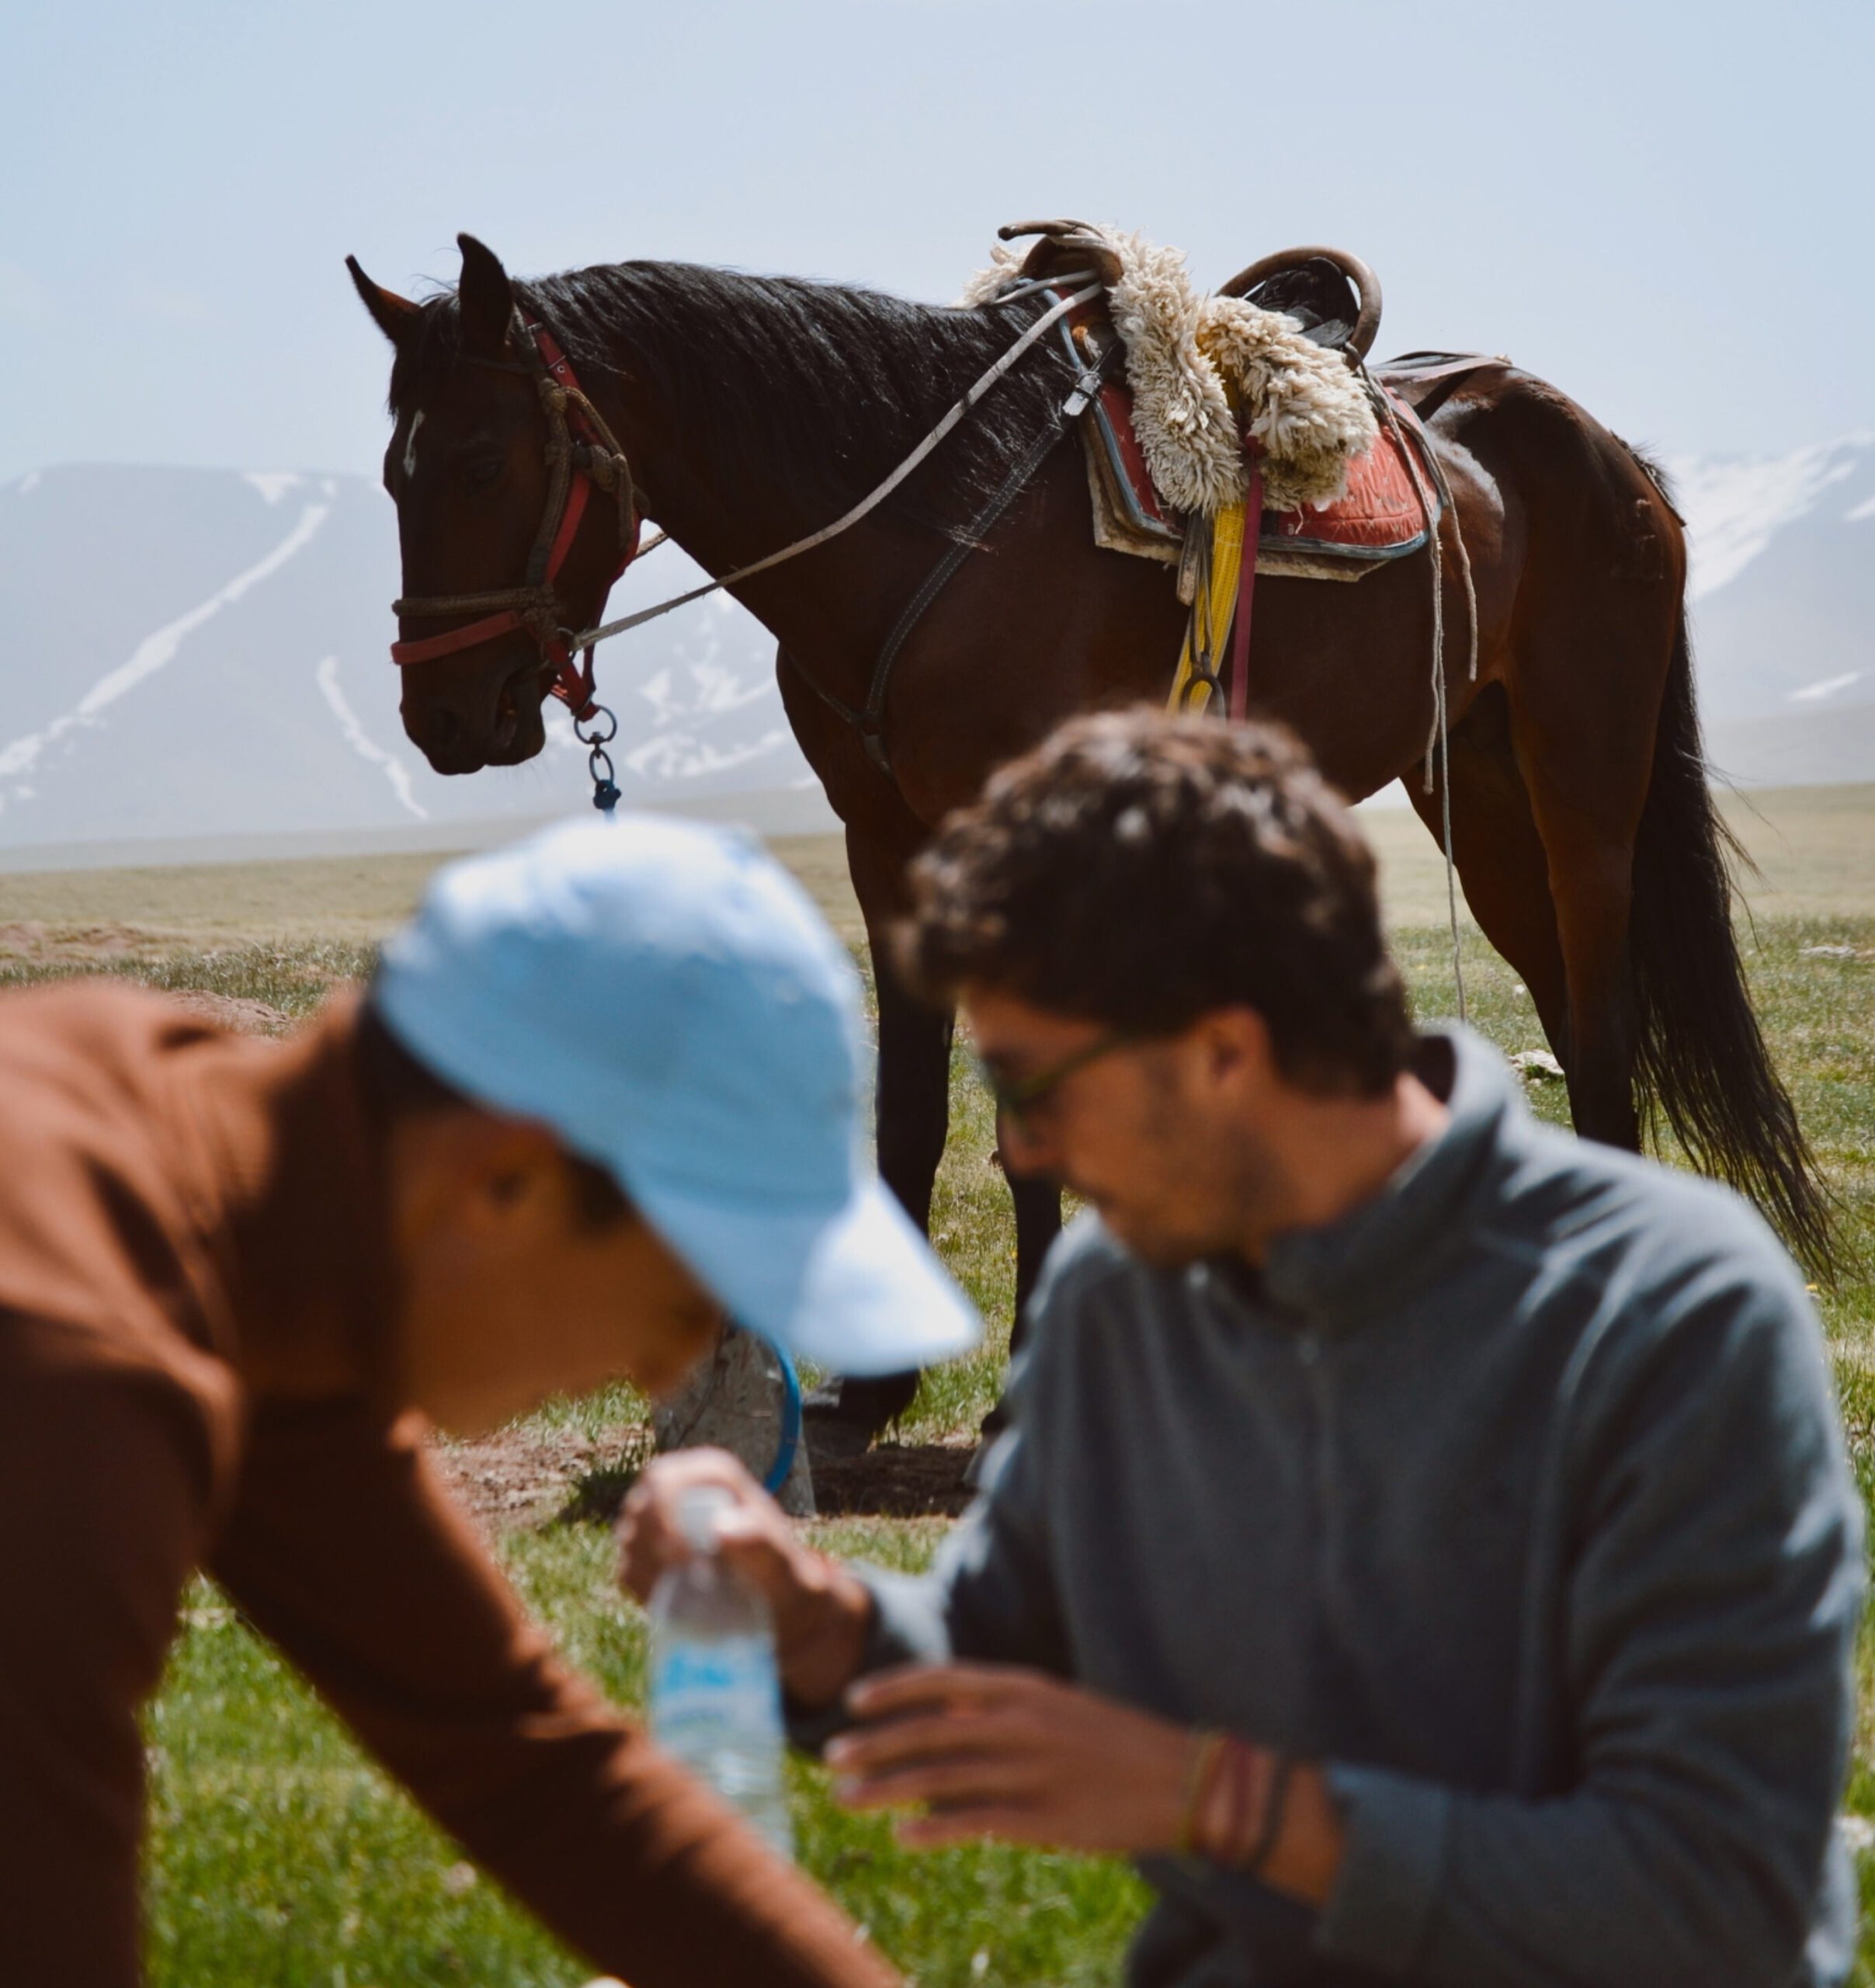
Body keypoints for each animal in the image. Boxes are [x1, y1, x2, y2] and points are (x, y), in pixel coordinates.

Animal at [347, 233, 1833, 1433]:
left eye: (477, 459)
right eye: (390, 476)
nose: (441, 717)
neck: (930, 524)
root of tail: (1609, 456)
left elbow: (1027, 1122)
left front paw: (1019, 1382)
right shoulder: (884, 843)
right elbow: (907, 1108)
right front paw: (874, 1390)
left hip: (1584, 783)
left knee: (1600, 1024)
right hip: (1480, 789)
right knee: (1569, 1019)